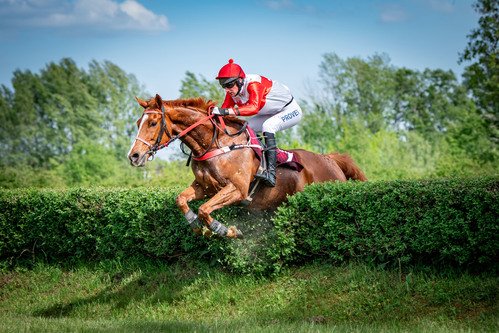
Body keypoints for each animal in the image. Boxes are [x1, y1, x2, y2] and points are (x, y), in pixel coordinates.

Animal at [127, 94, 366, 239]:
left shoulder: (237, 189)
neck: (215, 143)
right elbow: (181, 200)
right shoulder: (204, 187)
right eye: (138, 123)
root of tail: (330, 159)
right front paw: (195, 225)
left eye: (153, 123)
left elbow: (205, 209)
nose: (134, 156)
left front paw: (225, 230)